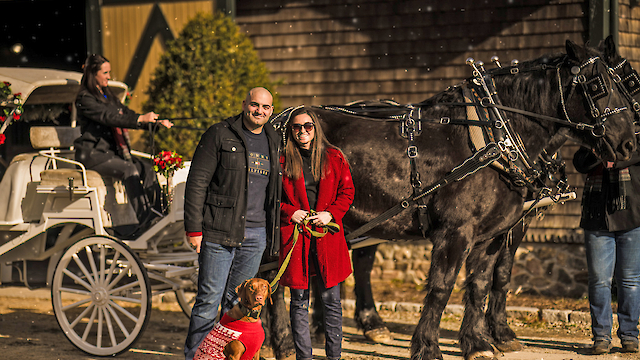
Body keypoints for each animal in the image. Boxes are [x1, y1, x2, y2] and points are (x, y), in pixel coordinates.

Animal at [262, 39, 636, 360]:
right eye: (598, 85)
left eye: (626, 82)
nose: (629, 144)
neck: (494, 136)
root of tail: (278, 120)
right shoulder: (456, 232)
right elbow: (442, 288)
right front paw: (428, 347)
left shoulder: (492, 234)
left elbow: (483, 284)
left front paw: (479, 342)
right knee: (278, 281)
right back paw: (283, 342)